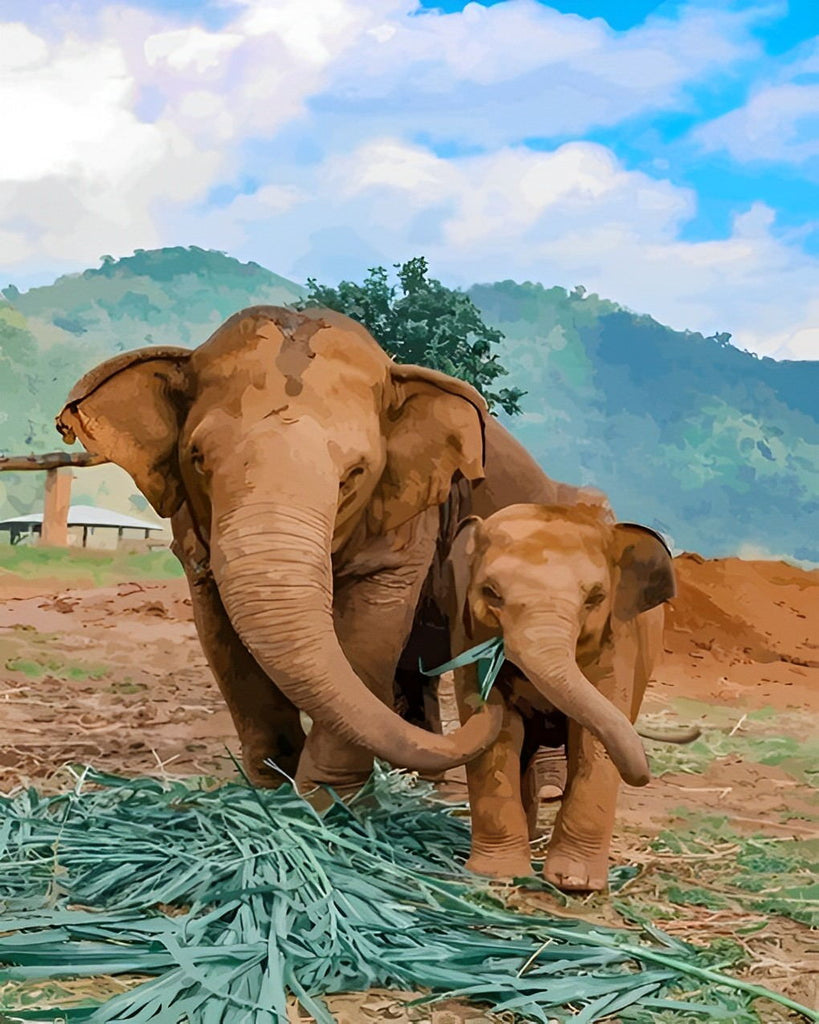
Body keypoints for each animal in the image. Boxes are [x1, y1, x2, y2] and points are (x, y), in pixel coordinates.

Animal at [54, 307, 630, 794]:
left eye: (354, 473)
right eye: (197, 458)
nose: (487, 706)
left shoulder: (408, 515)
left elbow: (370, 631)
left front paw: (326, 805)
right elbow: (222, 636)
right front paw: (268, 795)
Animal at [444, 501, 675, 888]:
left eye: (595, 598)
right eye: (491, 592)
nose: (644, 775)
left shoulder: (617, 643)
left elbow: (593, 743)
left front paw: (575, 884)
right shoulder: (467, 635)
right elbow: (498, 736)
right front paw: (498, 875)